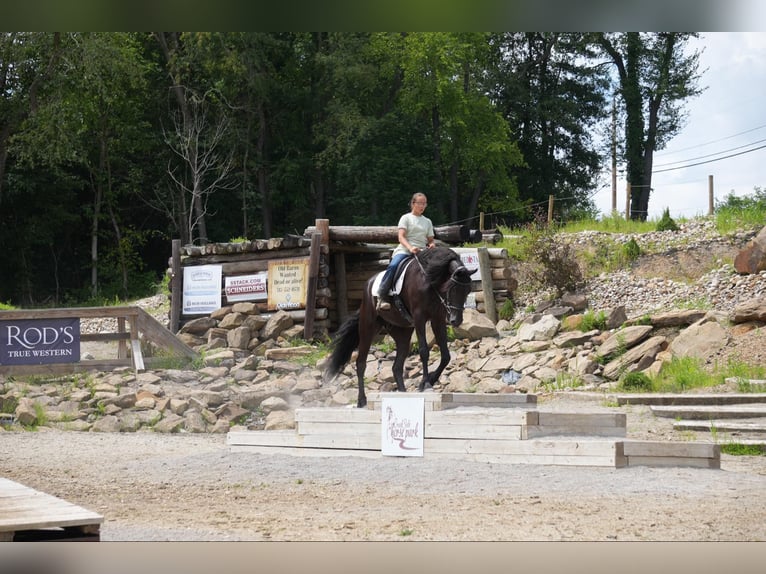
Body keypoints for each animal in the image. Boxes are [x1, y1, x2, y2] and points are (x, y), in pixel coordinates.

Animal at [324, 245, 476, 408]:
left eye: (468, 290)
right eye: (452, 288)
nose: (456, 320)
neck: (430, 280)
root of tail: (368, 284)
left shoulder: (438, 319)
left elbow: (446, 355)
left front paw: (431, 379)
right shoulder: (419, 318)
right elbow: (424, 351)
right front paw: (426, 383)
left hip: (402, 333)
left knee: (396, 366)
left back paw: (402, 393)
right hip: (367, 328)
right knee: (361, 363)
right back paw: (361, 400)